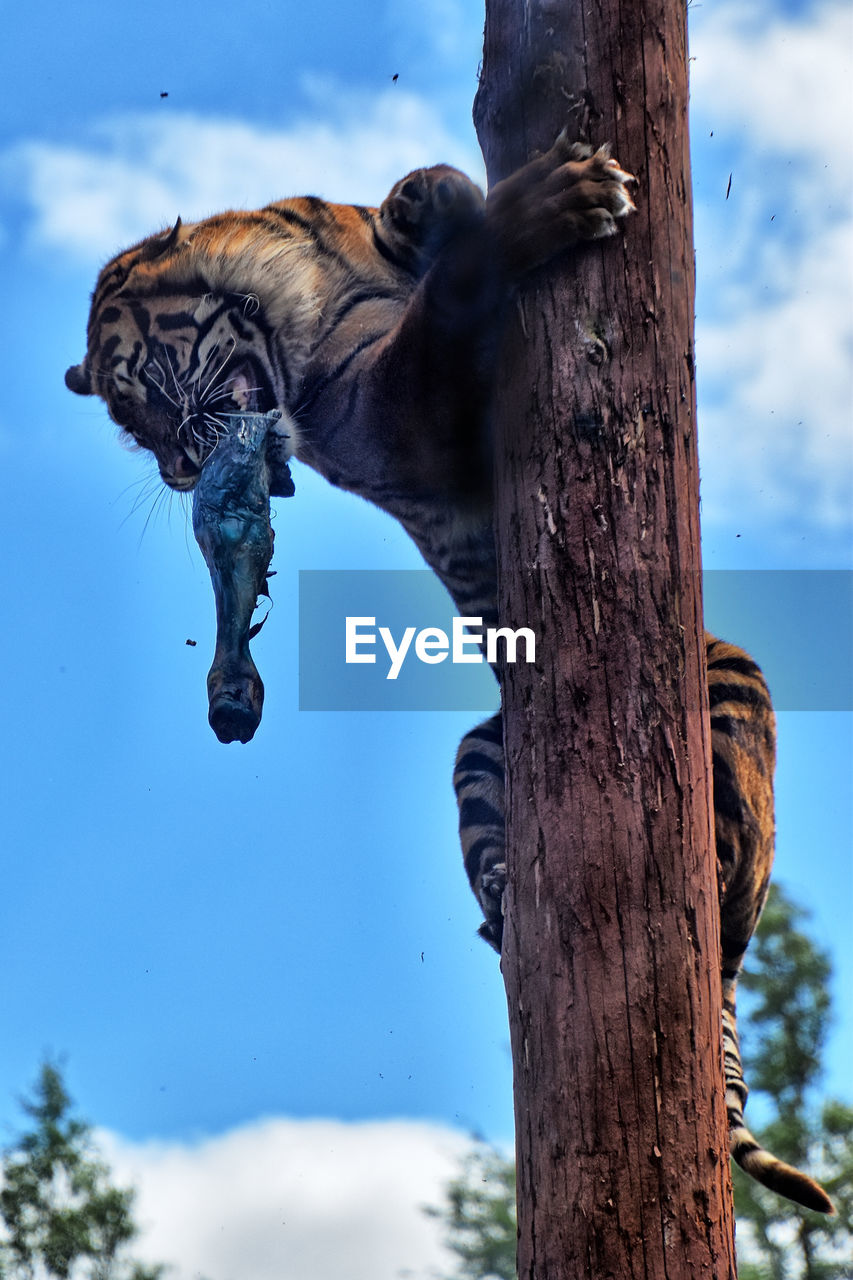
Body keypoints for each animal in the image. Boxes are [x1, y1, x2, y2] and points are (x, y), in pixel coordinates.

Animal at [64, 132, 829, 1218]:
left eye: (143, 406)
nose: (179, 474)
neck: (280, 286)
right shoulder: (377, 415)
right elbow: (445, 306)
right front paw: (547, 201)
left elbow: (427, 224)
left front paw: (432, 198)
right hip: (478, 751)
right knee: (525, 908)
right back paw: (510, 894)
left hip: (724, 679)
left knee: (729, 894)